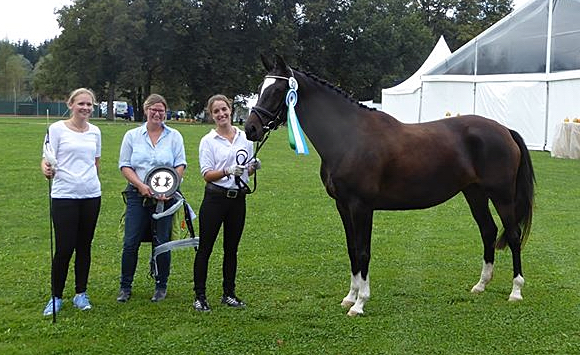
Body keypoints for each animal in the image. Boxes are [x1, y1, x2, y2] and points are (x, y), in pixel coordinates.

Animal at [245, 54, 536, 316]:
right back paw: (480, 285)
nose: (250, 129)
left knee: (512, 235)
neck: (348, 137)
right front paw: (349, 297)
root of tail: (504, 130)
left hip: (502, 195)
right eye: (259, 89)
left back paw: (516, 291)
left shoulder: (361, 207)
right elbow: (352, 250)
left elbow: (363, 252)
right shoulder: (343, 206)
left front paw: (360, 303)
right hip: (474, 193)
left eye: (278, 90)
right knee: (488, 231)